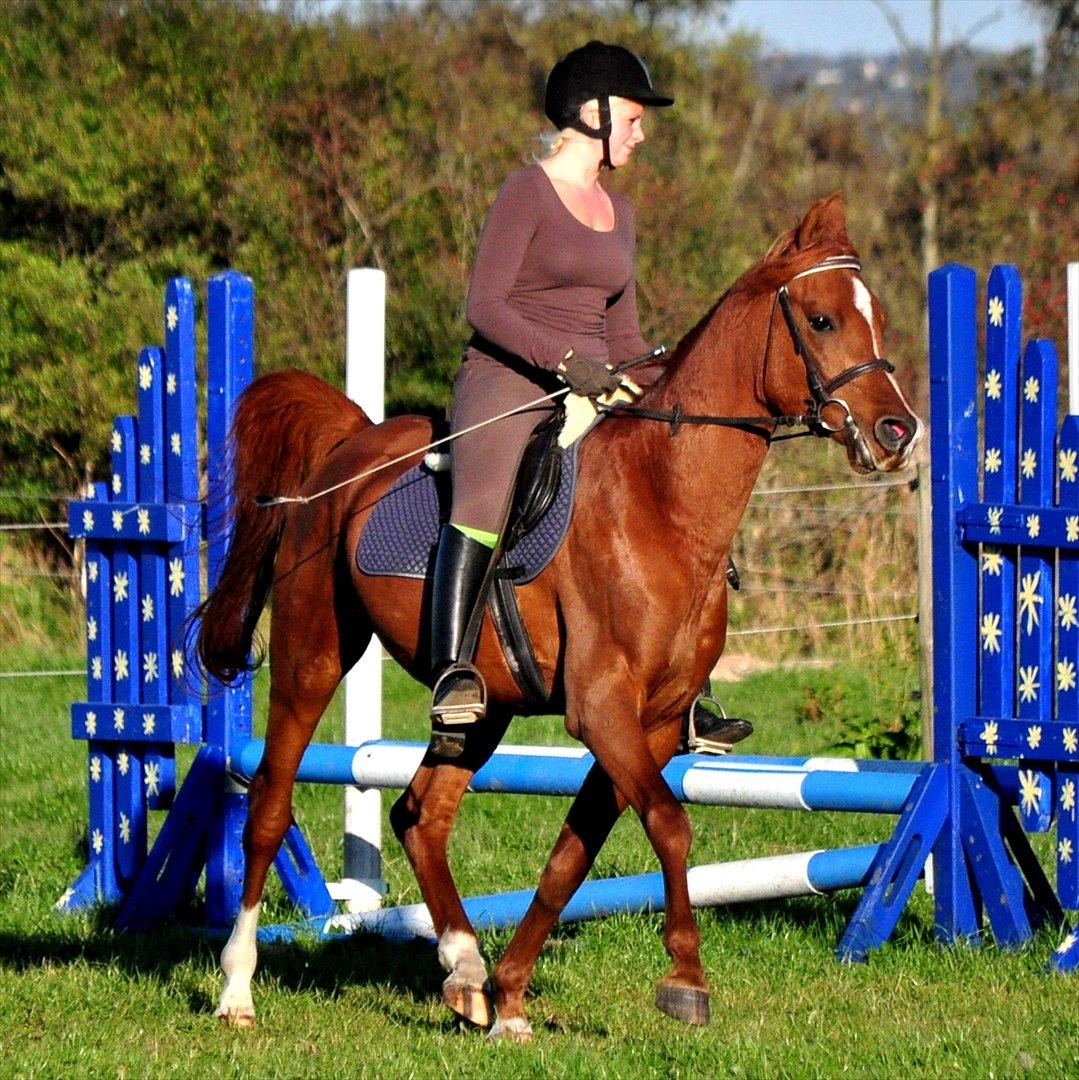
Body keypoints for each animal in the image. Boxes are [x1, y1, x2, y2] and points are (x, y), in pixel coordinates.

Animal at [200, 194, 920, 1036]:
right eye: (820, 319)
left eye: (875, 316)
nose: (896, 433)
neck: (663, 502)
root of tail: (353, 441)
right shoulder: (602, 708)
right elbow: (669, 825)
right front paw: (685, 980)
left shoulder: (649, 722)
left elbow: (572, 856)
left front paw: (509, 995)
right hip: (313, 655)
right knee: (269, 805)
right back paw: (238, 989)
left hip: (484, 706)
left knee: (419, 813)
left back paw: (463, 969)